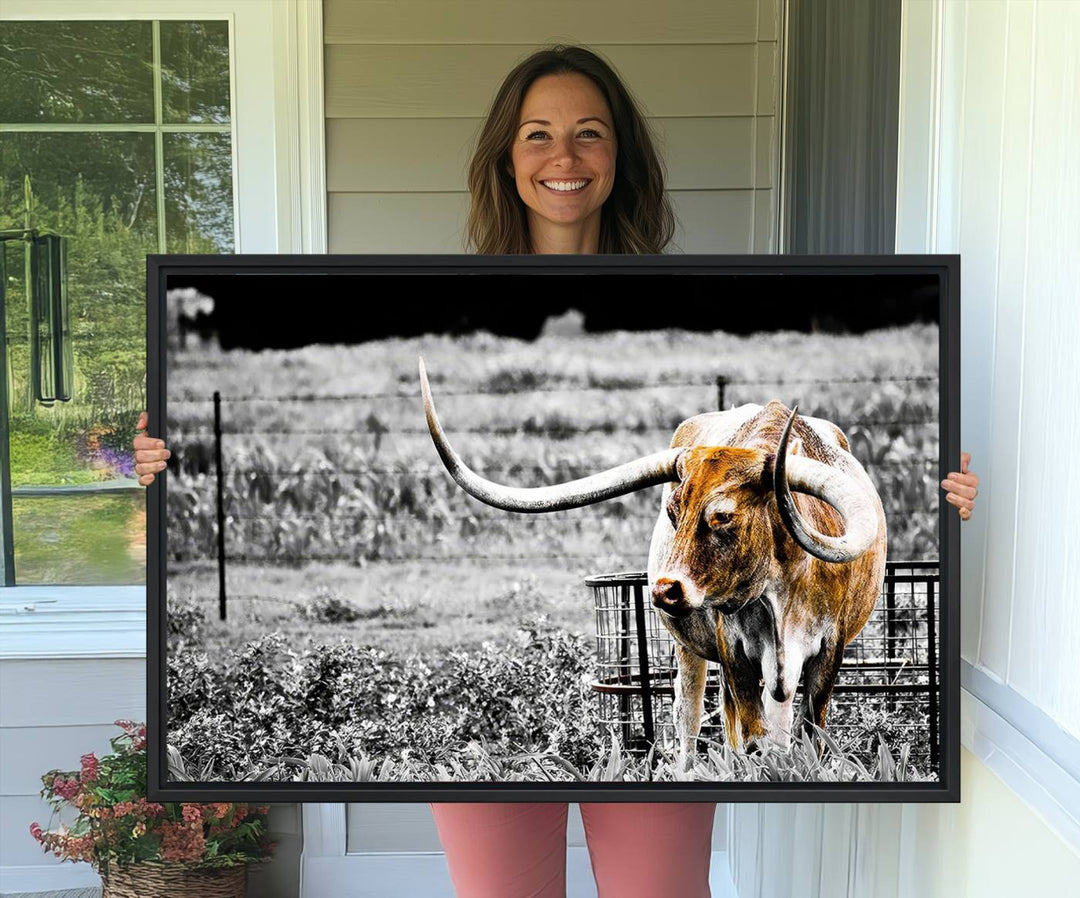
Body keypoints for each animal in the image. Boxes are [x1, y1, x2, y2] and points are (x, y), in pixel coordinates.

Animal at [414, 360, 885, 760]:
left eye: (723, 516)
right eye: (673, 512)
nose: (664, 589)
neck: (779, 594)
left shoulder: (829, 653)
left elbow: (809, 736)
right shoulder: (734, 652)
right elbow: (751, 739)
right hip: (690, 649)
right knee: (691, 718)